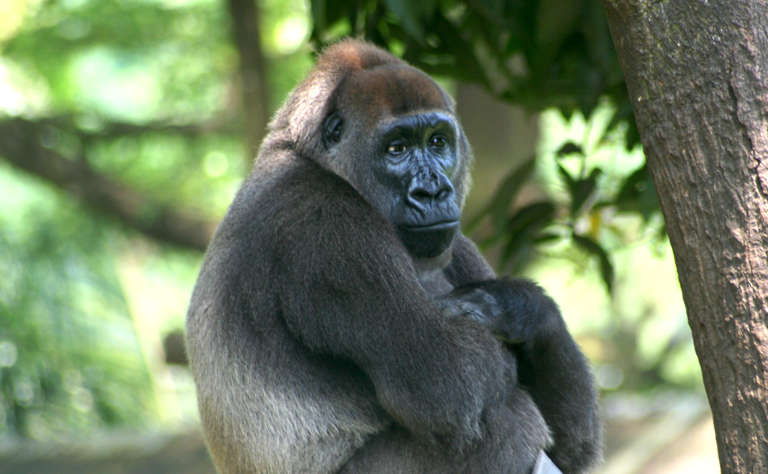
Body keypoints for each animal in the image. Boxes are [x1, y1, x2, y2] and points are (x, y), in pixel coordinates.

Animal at [185, 39, 601, 474]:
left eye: (437, 142)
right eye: (397, 148)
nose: (433, 192)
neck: (313, 158)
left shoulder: (456, 242)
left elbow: (574, 445)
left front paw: (513, 307)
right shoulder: (326, 224)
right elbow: (450, 383)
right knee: (510, 419)